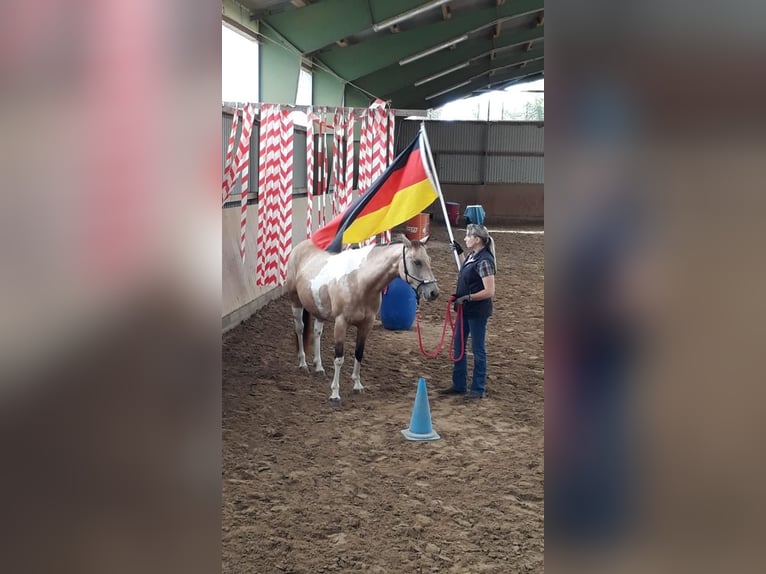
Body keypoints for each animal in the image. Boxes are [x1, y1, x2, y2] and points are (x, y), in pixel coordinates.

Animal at [286, 234, 440, 404]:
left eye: (429, 260)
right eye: (417, 262)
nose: (434, 293)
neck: (359, 281)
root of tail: (299, 247)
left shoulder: (366, 325)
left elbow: (359, 353)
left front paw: (357, 385)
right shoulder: (341, 323)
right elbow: (339, 358)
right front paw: (335, 394)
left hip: (319, 310)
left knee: (316, 332)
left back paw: (319, 367)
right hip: (296, 302)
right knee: (300, 329)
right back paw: (303, 364)